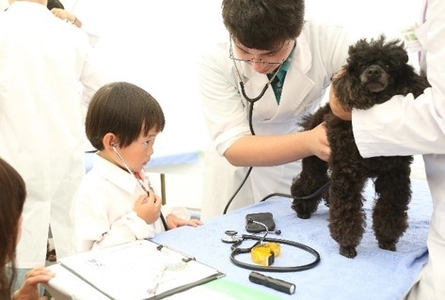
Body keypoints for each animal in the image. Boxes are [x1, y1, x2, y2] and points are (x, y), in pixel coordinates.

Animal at [290, 35, 428, 258]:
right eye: (362, 64)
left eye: (388, 65)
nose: (373, 71)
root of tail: (314, 116)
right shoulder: (348, 174)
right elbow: (347, 209)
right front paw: (347, 244)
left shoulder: (395, 175)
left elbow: (390, 208)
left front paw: (387, 239)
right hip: (315, 163)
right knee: (308, 182)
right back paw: (302, 209)